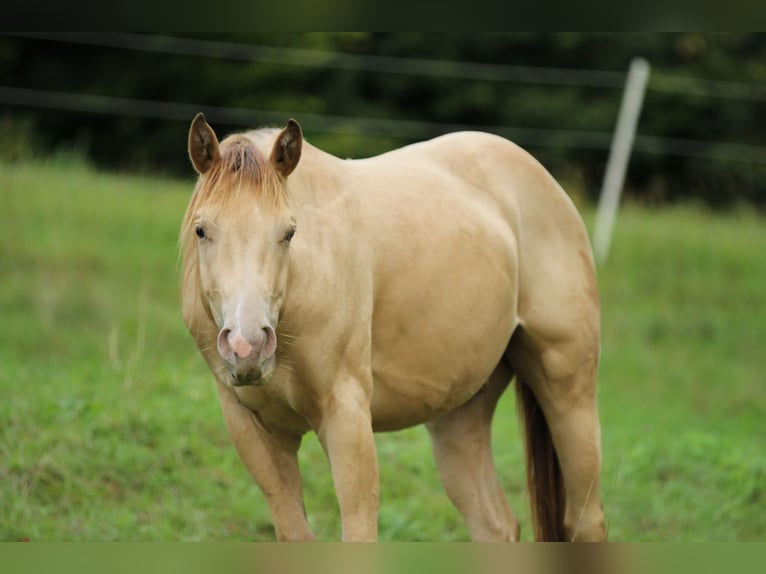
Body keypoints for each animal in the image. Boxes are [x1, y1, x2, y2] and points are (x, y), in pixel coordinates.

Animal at [181, 113, 605, 542]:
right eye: (201, 230)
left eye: (289, 232)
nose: (247, 345)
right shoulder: (254, 430)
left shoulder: (346, 418)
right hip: (460, 416)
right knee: (495, 525)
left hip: (569, 389)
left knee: (586, 519)